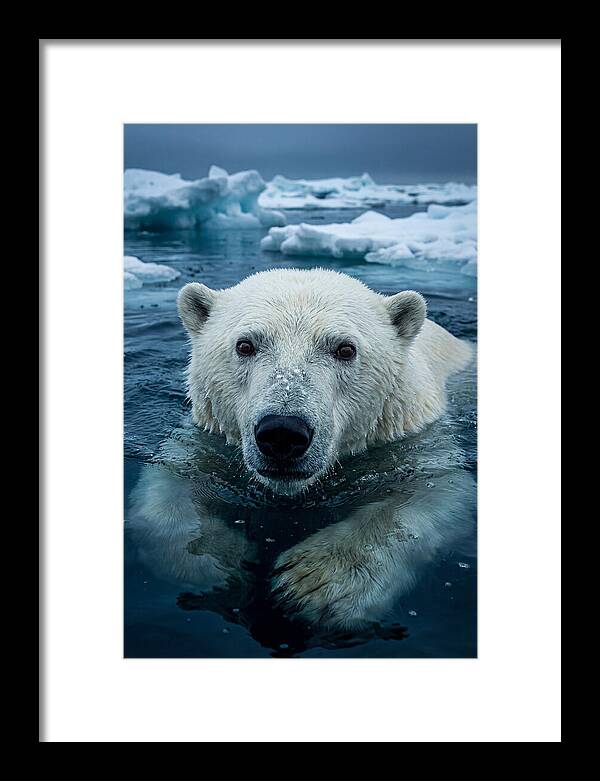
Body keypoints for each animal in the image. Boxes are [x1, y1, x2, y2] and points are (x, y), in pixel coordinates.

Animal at [127, 269, 475, 643]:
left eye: (345, 348)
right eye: (245, 345)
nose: (282, 432)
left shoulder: (415, 439)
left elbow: (436, 492)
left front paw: (314, 582)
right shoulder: (206, 439)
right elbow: (169, 486)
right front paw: (219, 562)